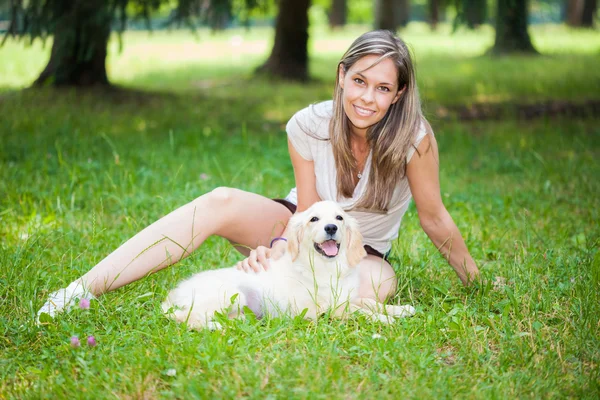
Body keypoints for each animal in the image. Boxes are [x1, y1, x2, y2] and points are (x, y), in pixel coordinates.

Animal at [164, 200, 418, 328]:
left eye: (339, 218)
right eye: (314, 219)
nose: (331, 228)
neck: (326, 267)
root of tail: (174, 295)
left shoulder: (346, 296)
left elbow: (369, 302)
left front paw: (399, 309)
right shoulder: (323, 308)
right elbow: (358, 311)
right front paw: (385, 319)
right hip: (231, 293)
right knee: (187, 317)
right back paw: (217, 326)